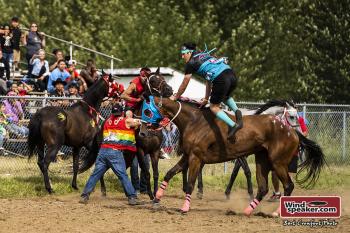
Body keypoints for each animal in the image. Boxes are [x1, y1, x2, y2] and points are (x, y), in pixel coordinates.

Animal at [142, 68, 326, 215]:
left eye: (147, 111)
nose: (143, 132)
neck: (193, 120)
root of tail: (292, 132)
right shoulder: (188, 156)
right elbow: (169, 173)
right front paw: (157, 198)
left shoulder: (195, 157)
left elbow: (190, 184)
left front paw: (184, 208)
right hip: (262, 160)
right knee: (263, 188)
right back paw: (247, 210)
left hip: (278, 162)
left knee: (288, 185)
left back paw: (276, 212)